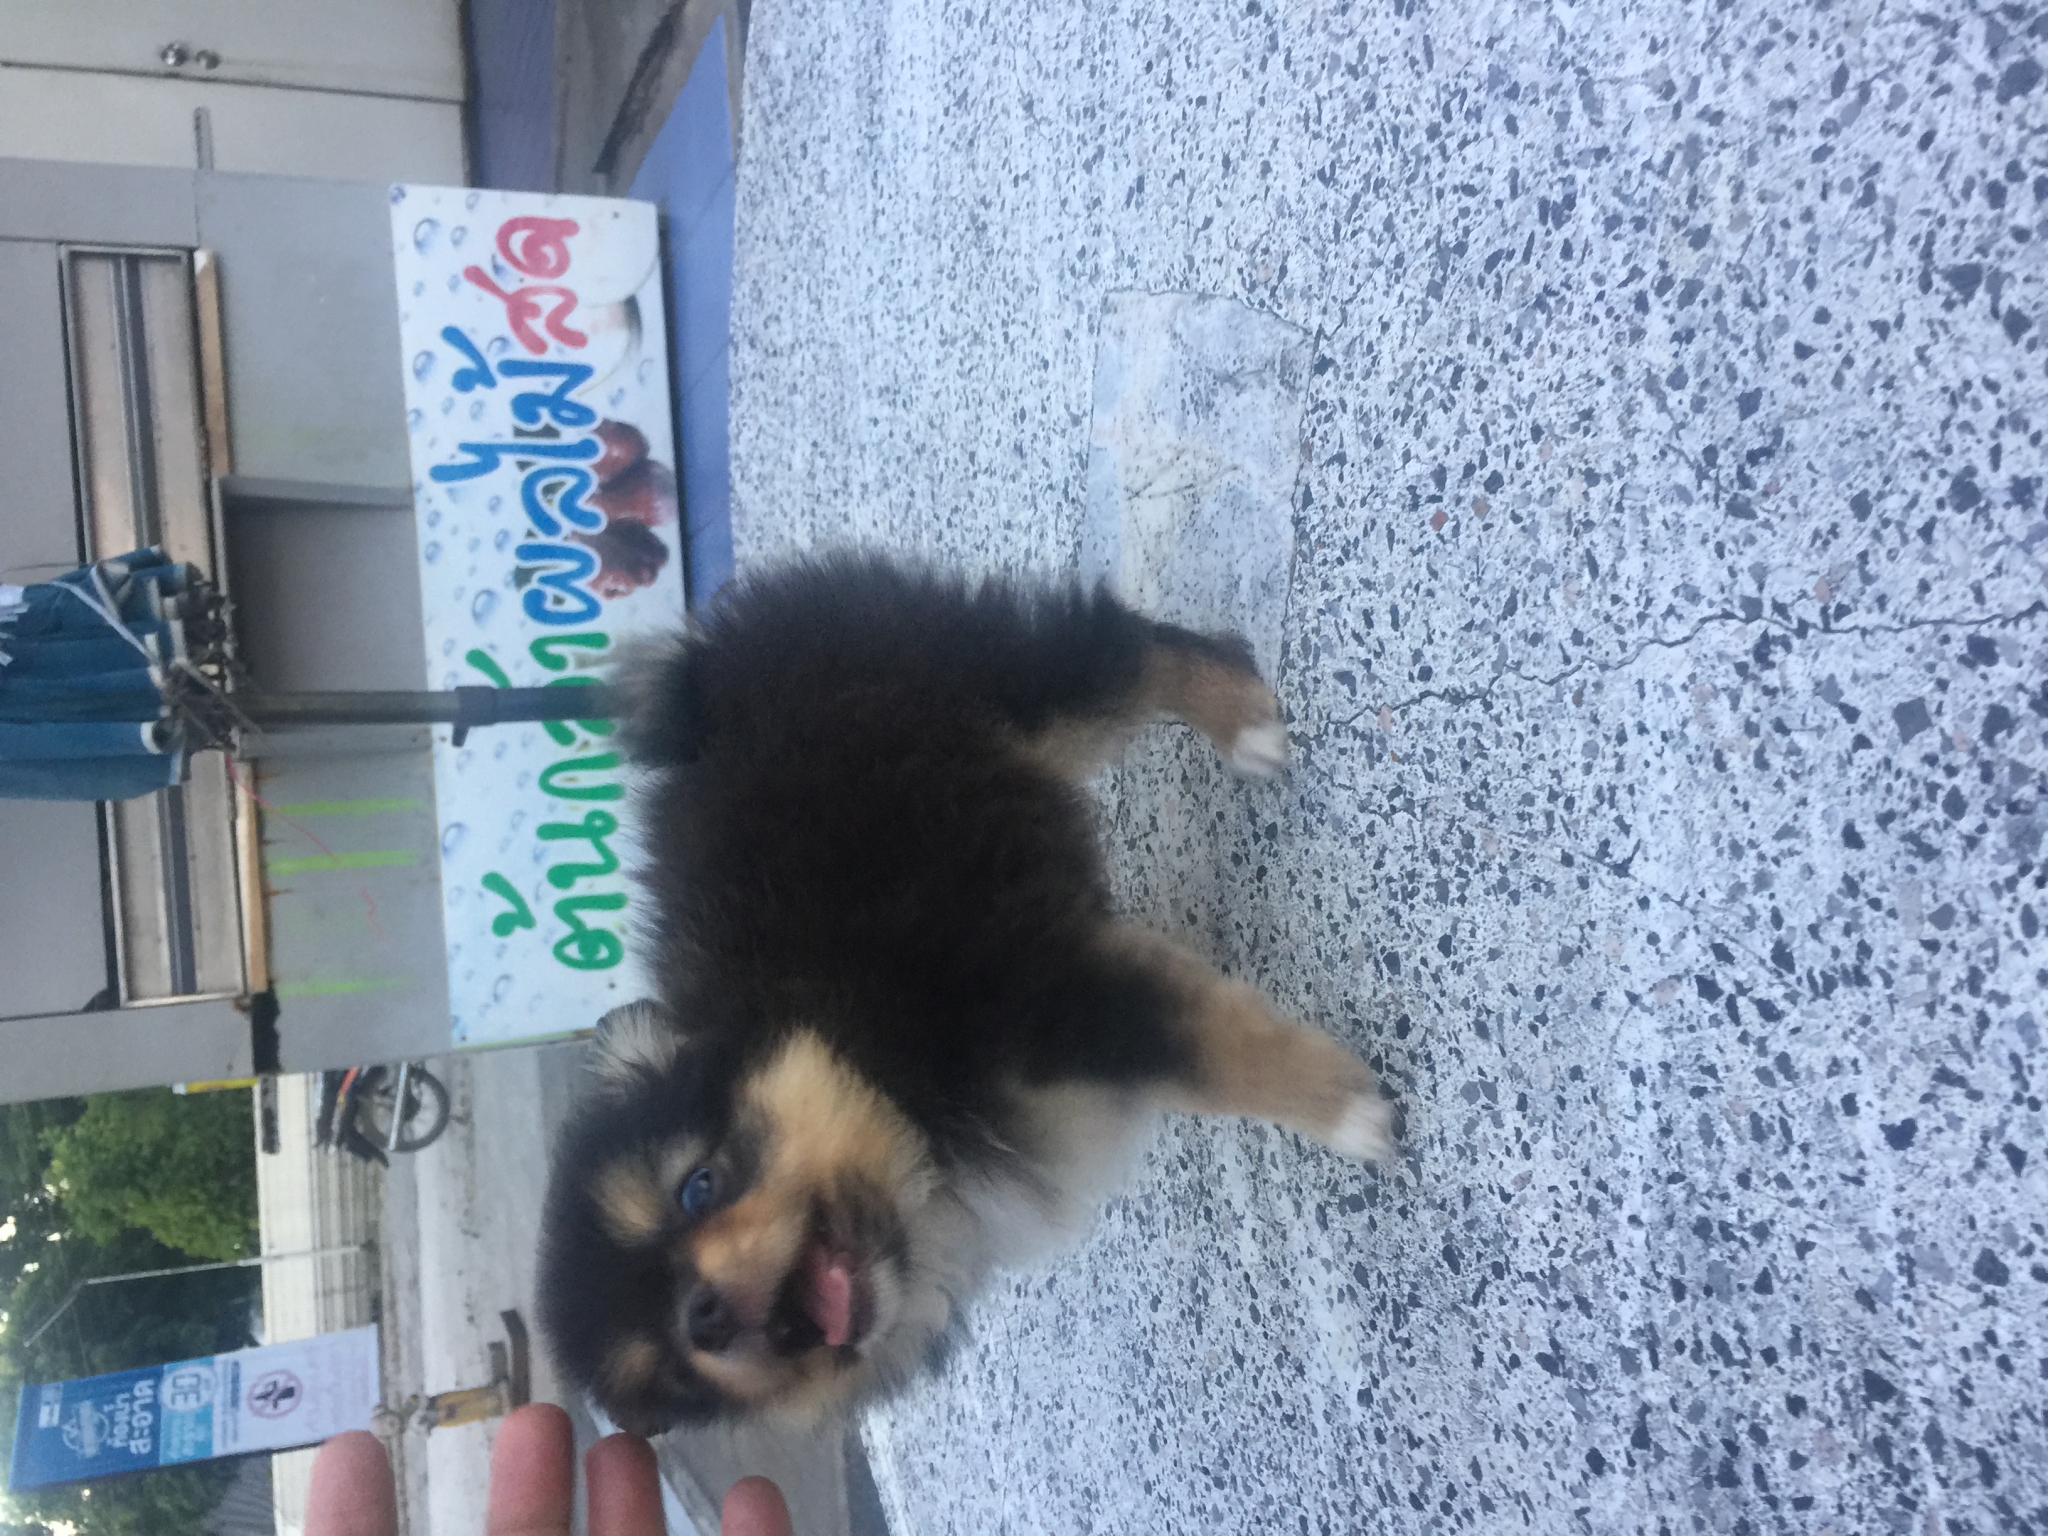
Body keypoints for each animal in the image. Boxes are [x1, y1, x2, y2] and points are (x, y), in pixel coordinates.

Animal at [537, 555, 1394, 1431]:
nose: (700, 1317)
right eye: (674, 1368)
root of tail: (705, 672)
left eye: (697, 1187)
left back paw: (1241, 720)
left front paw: (1350, 1114)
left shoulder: (1033, 993)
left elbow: (1213, 1056)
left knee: (1117, 651)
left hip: (978, 679)